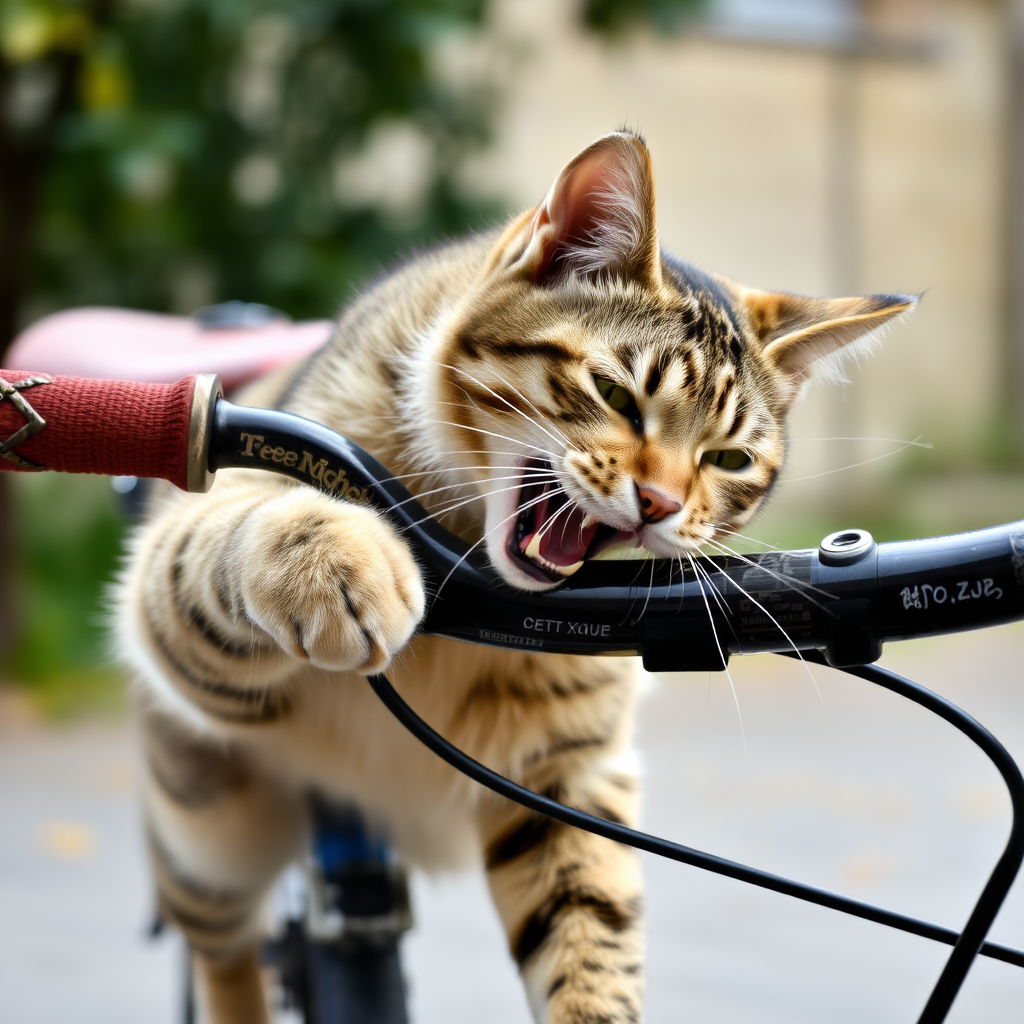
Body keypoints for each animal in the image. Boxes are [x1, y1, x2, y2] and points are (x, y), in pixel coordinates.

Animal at [116, 132, 917, 1019]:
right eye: (615, 396)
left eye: (728, 460)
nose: (662, 503)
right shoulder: (192, 601)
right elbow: (234, 531)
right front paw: (336, 562)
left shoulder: (566, 775)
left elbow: (590, 941)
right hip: (209, 835)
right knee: (224, 953)